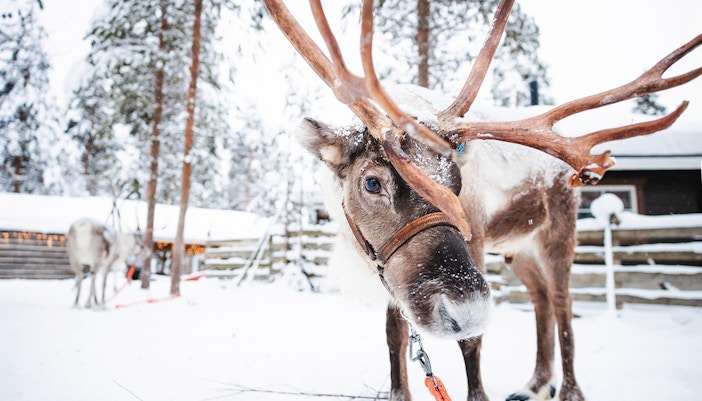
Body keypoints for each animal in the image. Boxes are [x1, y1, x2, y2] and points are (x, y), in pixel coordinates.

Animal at [262, 0, 702, 400]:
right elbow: (394, 337)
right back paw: (535, 384)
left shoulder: (470, 243)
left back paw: (569, 390)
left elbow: (471, 343)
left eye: (456, 181)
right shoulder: (389, 270)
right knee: (540, 297)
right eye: (372, 184)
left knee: (562, 301)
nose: (468, 310)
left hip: (558, 231)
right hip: (516, 248)